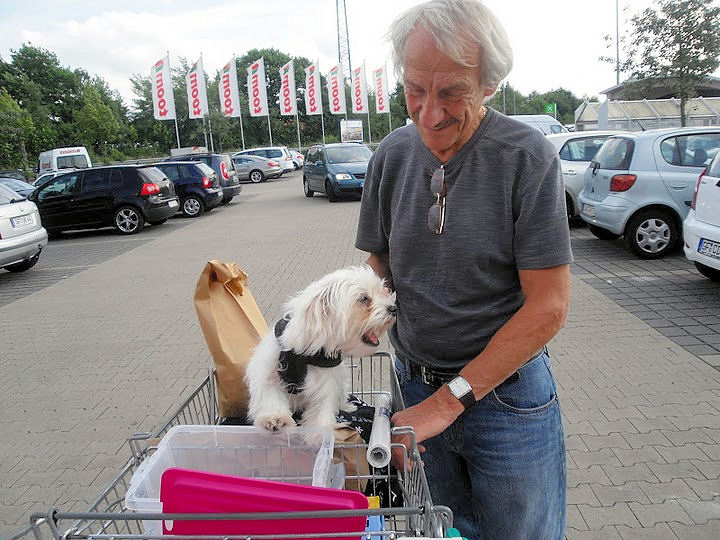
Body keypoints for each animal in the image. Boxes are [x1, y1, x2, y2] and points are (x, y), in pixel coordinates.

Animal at [245, 264, 396, 432]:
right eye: (364, 299)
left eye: (383, 292)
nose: (393, 308)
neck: (302, 352)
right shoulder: (268, 372)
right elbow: (270, 396)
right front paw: (275, 418)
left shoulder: (326, 381)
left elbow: (322, 406)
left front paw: (321, 430)